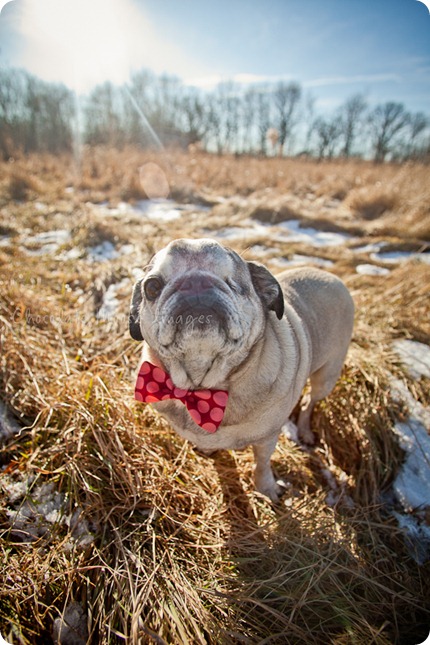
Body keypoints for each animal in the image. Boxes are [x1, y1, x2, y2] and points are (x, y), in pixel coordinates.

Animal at [129, 239, 354, 500]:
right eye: (152, 287)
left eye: (235, 284)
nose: (196, 282)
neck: (201, 388)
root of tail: (331, 276)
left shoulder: (267, 439)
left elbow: (262, 465)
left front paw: (266, 489)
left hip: (326, 377)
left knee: (310, 400)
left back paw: (305, 431)